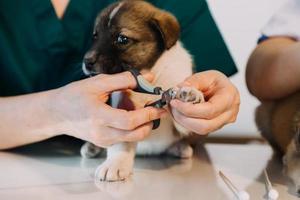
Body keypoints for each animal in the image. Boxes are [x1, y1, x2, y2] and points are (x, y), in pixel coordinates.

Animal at [81, 0, 203, 181]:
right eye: (95, 36)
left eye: (122, 39)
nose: (87, 61)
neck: (152, 74)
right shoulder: (122, 113)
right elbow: (121, 142)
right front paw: (115, 164)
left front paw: (187, 94)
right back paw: (92, 148)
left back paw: (180, 148)